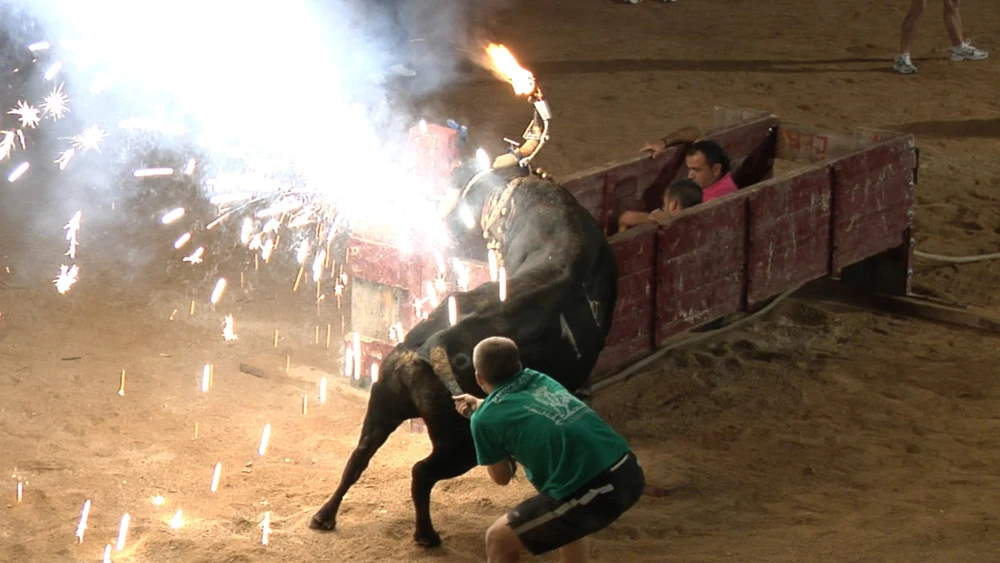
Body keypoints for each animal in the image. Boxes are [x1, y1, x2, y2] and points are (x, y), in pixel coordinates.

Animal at [306, 167, 616, 548]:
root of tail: (430, 345)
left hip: (384, 402)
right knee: (422, 472)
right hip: (459, 445)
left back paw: (324, 516)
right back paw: (426, 535)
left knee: (360, 455)